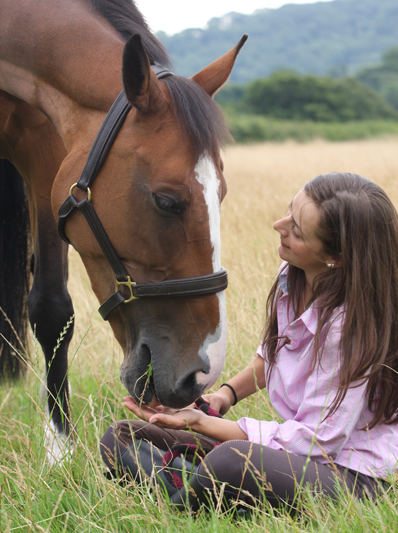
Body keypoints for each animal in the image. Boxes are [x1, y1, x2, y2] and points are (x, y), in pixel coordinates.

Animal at [0, 0, 246, 454]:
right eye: (166, 201)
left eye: (221, 193)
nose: (201, 375)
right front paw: (60, 449)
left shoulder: (43, 151)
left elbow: (51, 307)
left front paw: (58, 444)